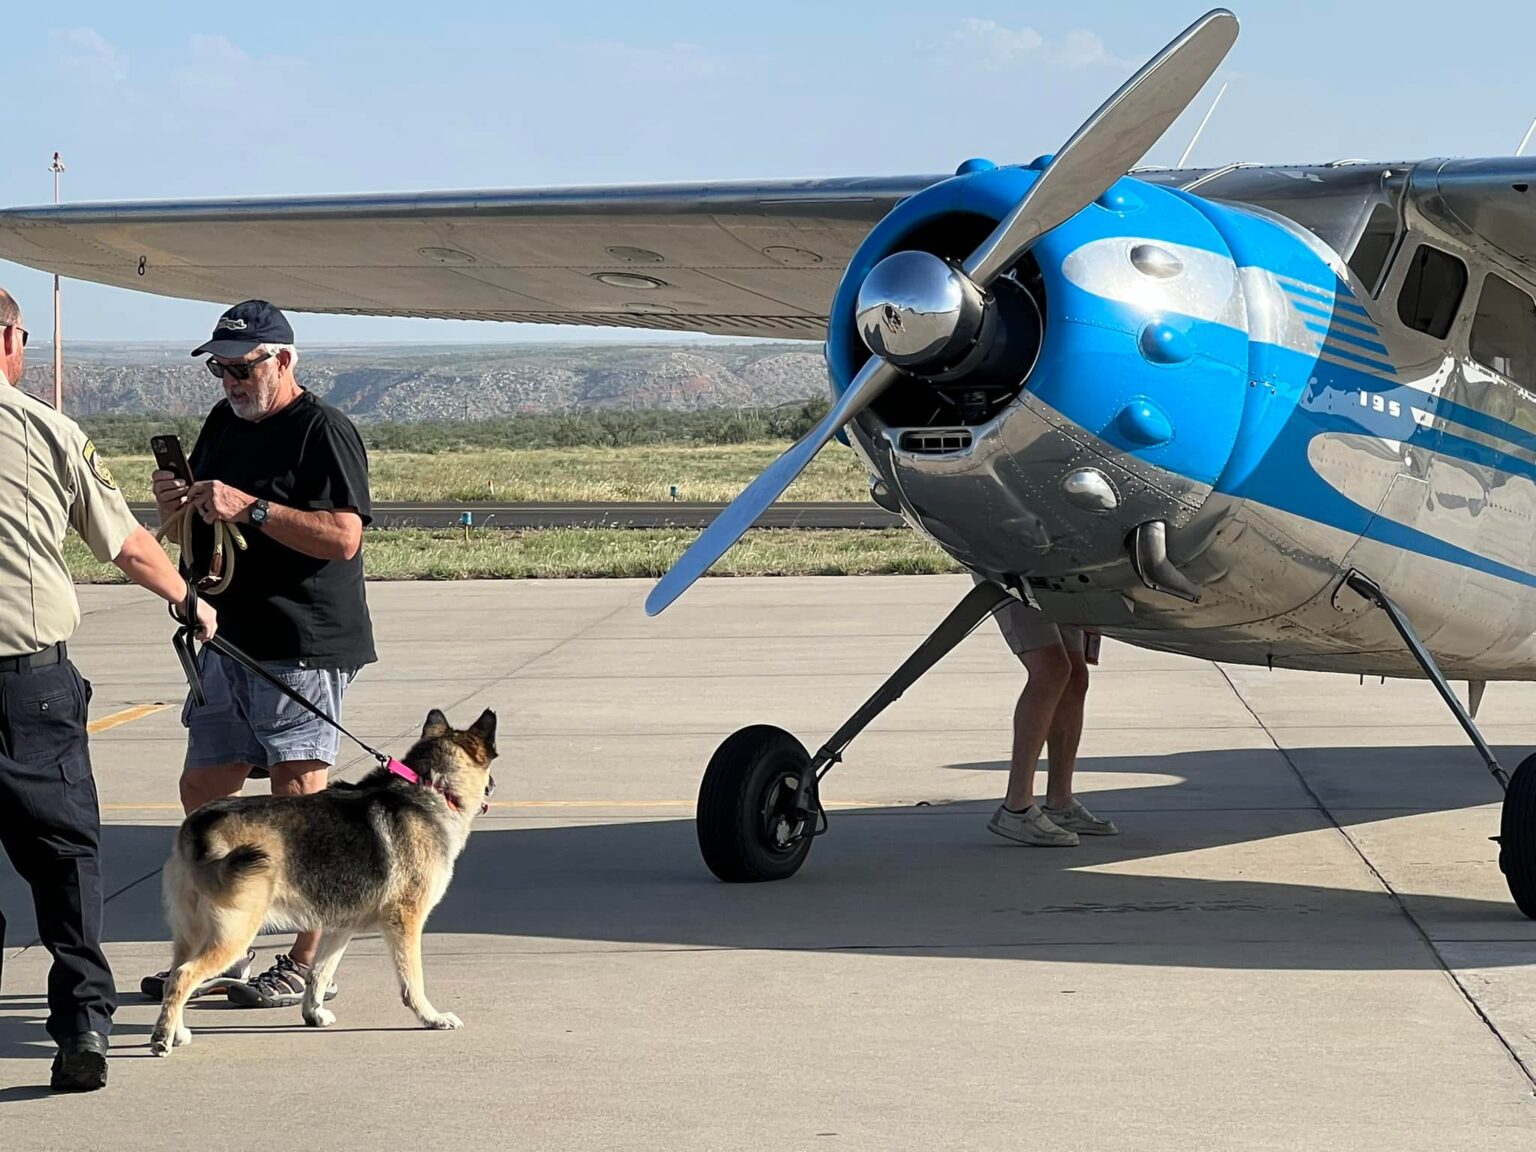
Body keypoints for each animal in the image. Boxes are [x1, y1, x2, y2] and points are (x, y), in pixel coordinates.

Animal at [150, 703, 497, 1056]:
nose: (493, 785)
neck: (431, 787)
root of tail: (200, 825)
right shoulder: (406, 922)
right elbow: (413, 980)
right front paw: (431, 1017)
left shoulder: (341, 928)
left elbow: (319, 972)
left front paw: (313, 1013)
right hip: (233, 935)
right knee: (183, 976)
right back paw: (162, 1039)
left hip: (192, 935)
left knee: (174, 977)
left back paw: (177, 1031)